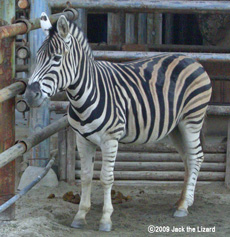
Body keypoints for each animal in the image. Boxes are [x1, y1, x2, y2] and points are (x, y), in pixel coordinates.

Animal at [23, 12, 212, 231]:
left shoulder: (110, 139)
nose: (29, 96)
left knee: (196, 156)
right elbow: (86, 176)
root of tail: (191, 59)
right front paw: (80, 216)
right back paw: (182, 201)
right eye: (37, 58)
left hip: (192, 120)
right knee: (188, 158)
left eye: (56, 58)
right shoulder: (82, 139)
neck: (84, 95)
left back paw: (183, 207)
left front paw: (105, 219)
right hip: (176, 127)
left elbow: (106, 178)